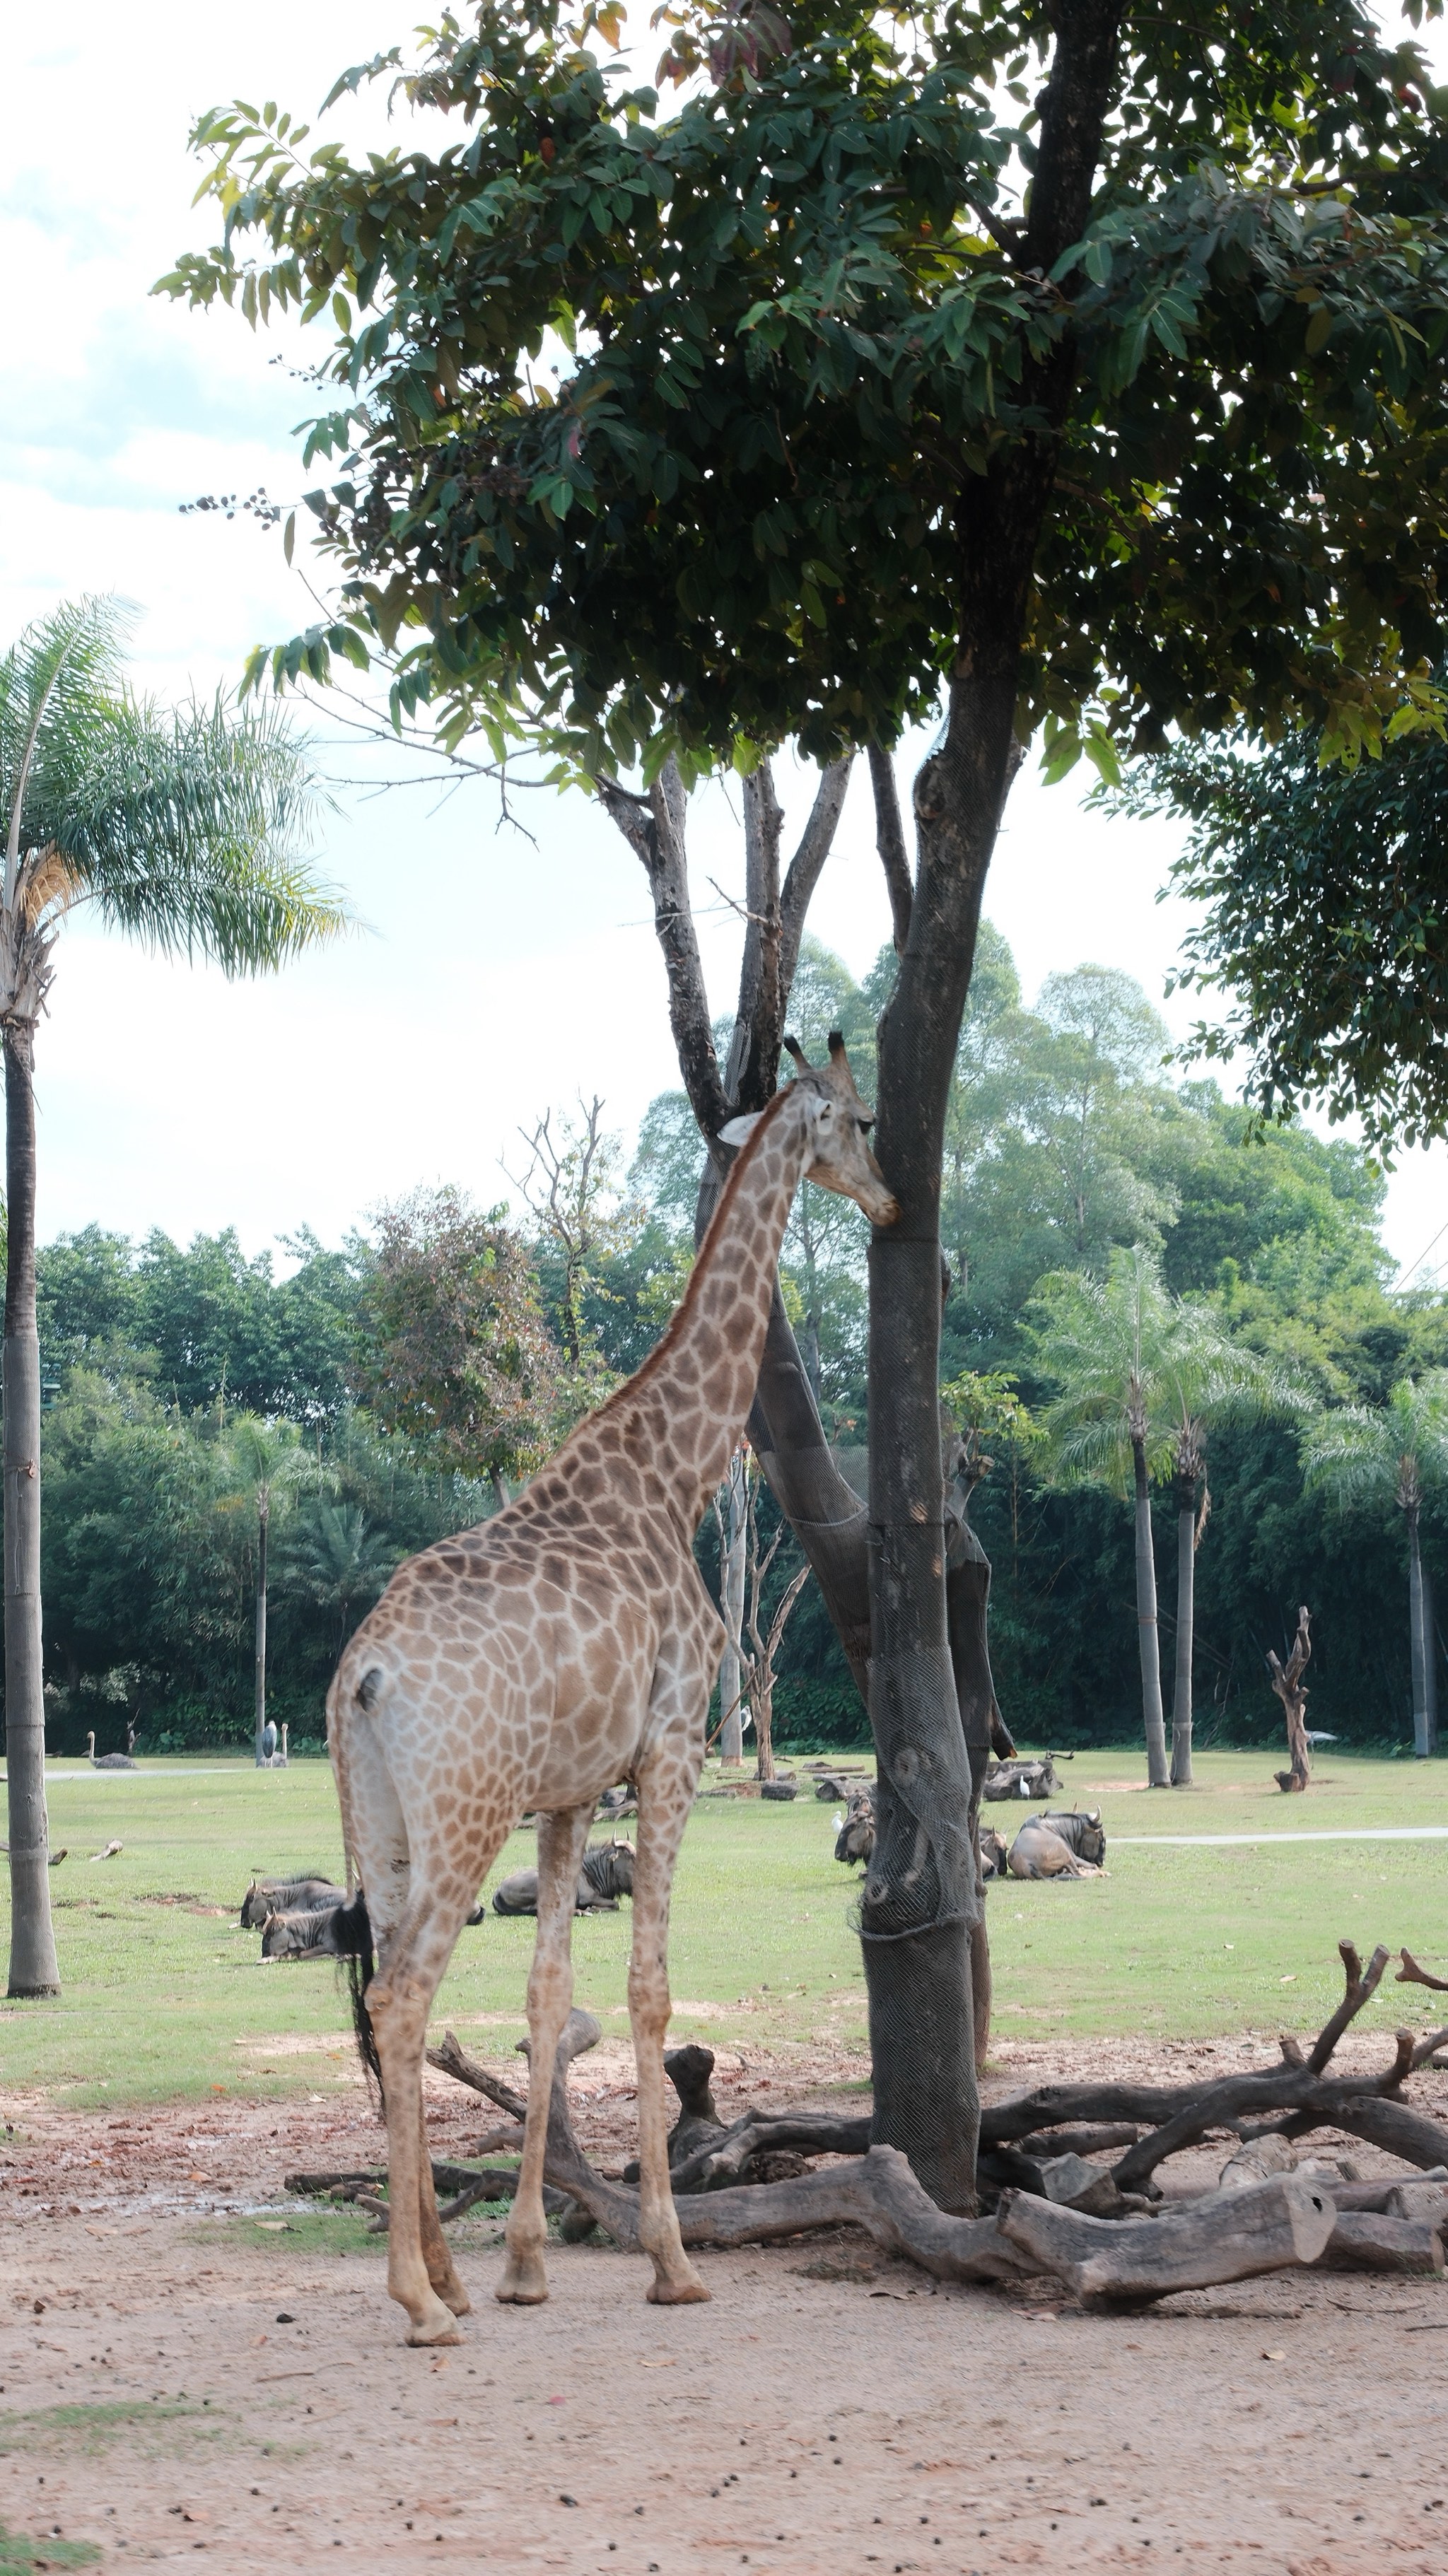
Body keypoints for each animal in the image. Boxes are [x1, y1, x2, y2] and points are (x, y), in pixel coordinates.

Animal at [325, 1035, 891, 2349]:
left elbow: (548, 1998)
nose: (892, 1201)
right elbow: (647, 1988)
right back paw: (416, 2299)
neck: (673, 1474)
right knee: (404, 1994)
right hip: (465, 1811)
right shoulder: (672, 1746)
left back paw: (451, 2277)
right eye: (861, 1121)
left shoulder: (575, 1790)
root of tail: (363, 1673)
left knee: (386, 1999)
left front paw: (530, 2261)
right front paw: (672, 2257)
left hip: (383, 1820)